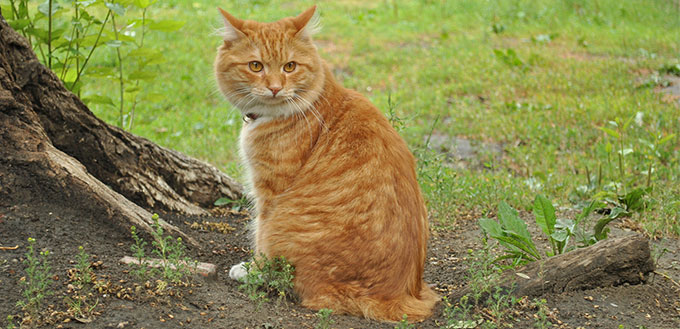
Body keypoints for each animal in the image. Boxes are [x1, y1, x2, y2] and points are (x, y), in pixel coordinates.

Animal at [215, 6, 440, 322]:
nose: (275, 88)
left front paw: (253, 271)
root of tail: (397, 296)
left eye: (290, 67)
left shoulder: (269, 194)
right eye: (256, 66)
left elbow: (259, 237)